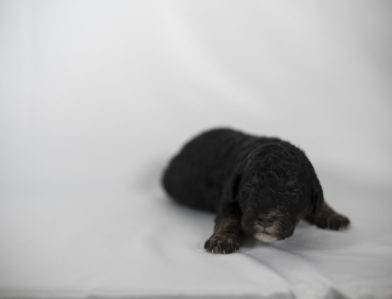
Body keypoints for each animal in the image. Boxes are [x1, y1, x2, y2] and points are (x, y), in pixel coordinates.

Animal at [161, 127, 350, 254]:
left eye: (293, 191)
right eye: (250, 186)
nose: (265, 219)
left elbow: (321, 202)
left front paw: (334, 216)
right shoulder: (228, 196)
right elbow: (229, 218)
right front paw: (223, 238)